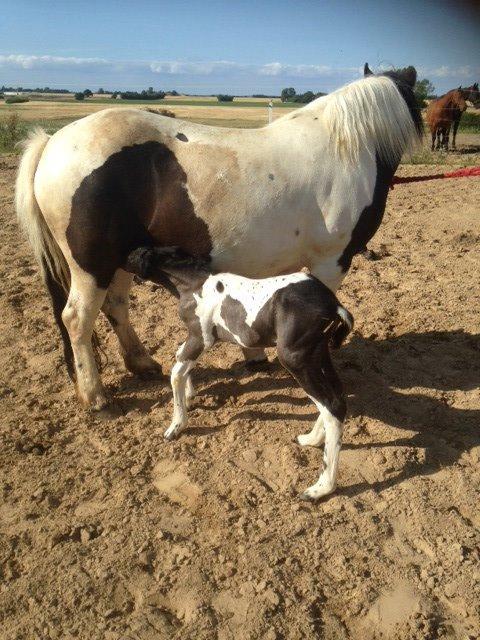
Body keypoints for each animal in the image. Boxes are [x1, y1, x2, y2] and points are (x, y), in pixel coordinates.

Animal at [125, 245, 354, 500]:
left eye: (130, 254)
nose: (124, 268)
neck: (194, 284)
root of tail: (334, 305)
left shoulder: (200, 338)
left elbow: (176, 372)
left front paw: (175, 427)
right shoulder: (195, 340)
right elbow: (179, 359)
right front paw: (190, 397)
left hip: (296, 359)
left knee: (331, 405)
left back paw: (320, 488)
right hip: (318, 355)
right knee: (336, 399)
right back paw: (311, 439)